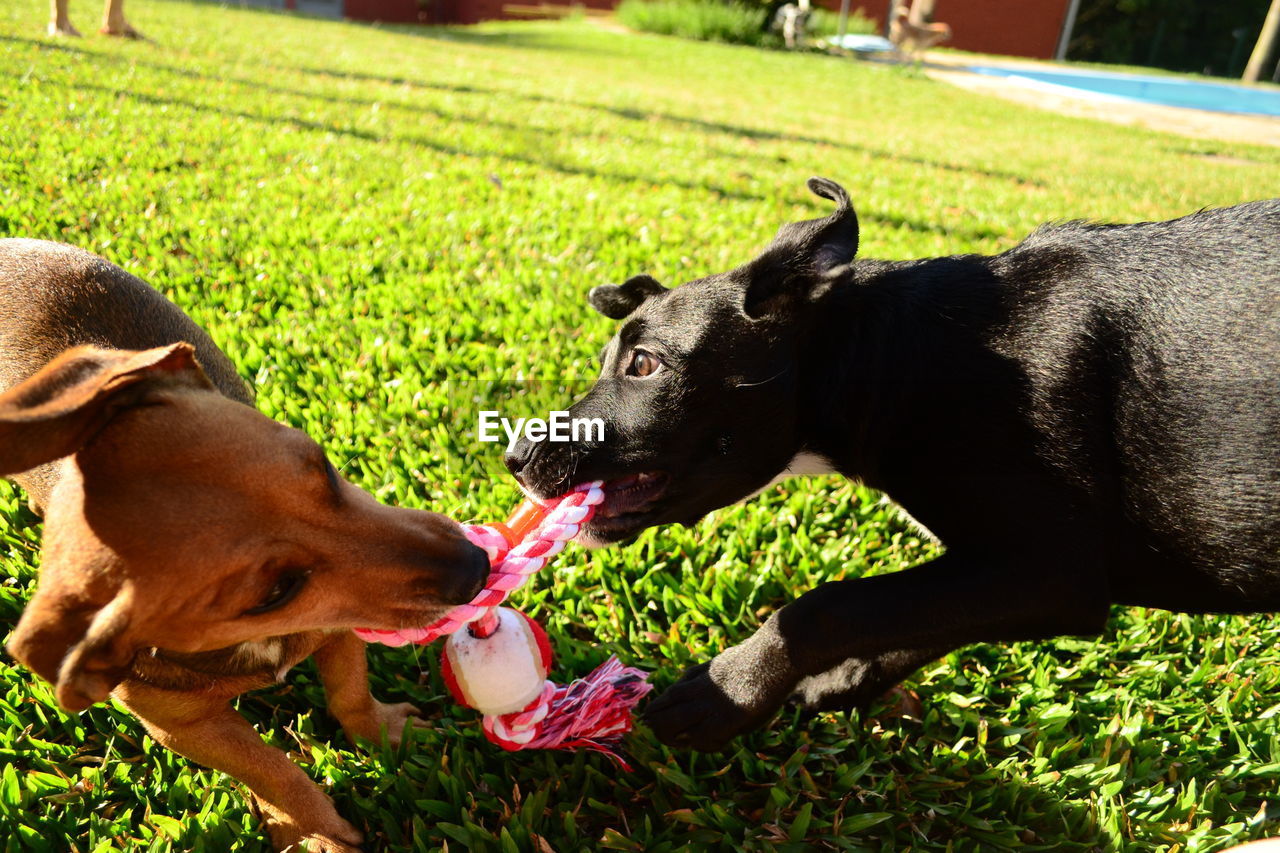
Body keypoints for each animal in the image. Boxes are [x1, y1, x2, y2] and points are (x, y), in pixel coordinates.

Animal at [0, 239, 488, 850]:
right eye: (275, 592)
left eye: (322, 465)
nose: (478, 566)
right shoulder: (184, 726)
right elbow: (272, 770)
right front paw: (311, 831)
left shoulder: (337, 631)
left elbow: (349, 694)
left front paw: (383, 733)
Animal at [504, 175, 1274, 747]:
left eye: (644, 364)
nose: (515, 456)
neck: (899, 351)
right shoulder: (1001, 575)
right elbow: (901, 616)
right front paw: (835, 685)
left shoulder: (1055, 567)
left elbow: (826, 605)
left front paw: (726, 692)